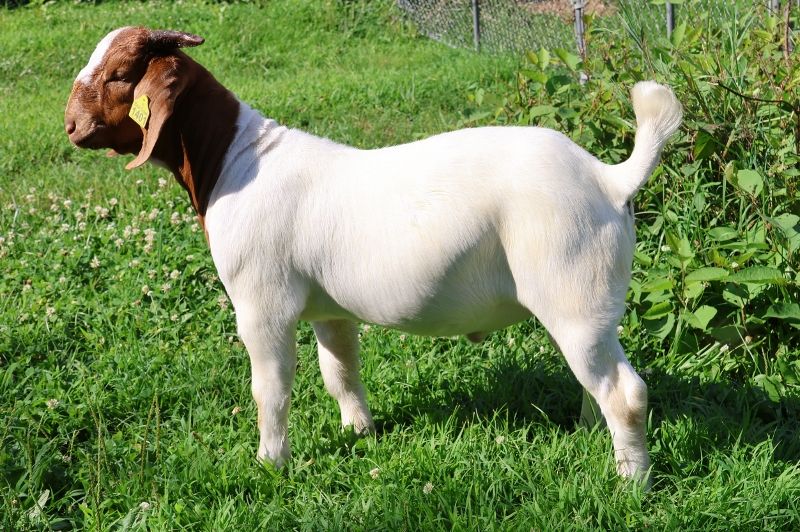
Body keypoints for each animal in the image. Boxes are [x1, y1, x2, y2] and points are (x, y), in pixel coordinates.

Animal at [65, 27, 682, 482]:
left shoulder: (262, 305)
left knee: (626, 394)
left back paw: (630, 483)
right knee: (599, 379)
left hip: (572, 285)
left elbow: (271, 389)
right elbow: (340, 370)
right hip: (590, 304)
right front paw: (357, 432)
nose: (70, 126)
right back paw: (591, 435)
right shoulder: (329, 308)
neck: (234, 161)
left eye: (119, 74)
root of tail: (608, 178)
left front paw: (271, 464)